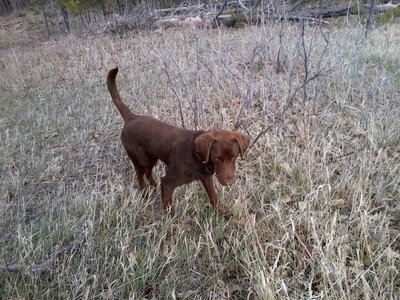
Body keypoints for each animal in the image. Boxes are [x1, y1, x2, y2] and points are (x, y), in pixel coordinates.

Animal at [107, 68, 250, 213]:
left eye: (234, 157)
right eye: (217, 158)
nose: (229, 183)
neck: (196, 155)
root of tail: (131, 117)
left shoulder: (206, 177)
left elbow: (213, 197)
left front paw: (221, 212)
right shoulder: (168, 182)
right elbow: (168, 207)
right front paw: (169, 218)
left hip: (152, 157)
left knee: (148, 172)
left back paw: (153, 186)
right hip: (139, 159)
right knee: (140, 176)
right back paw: (145, 195)